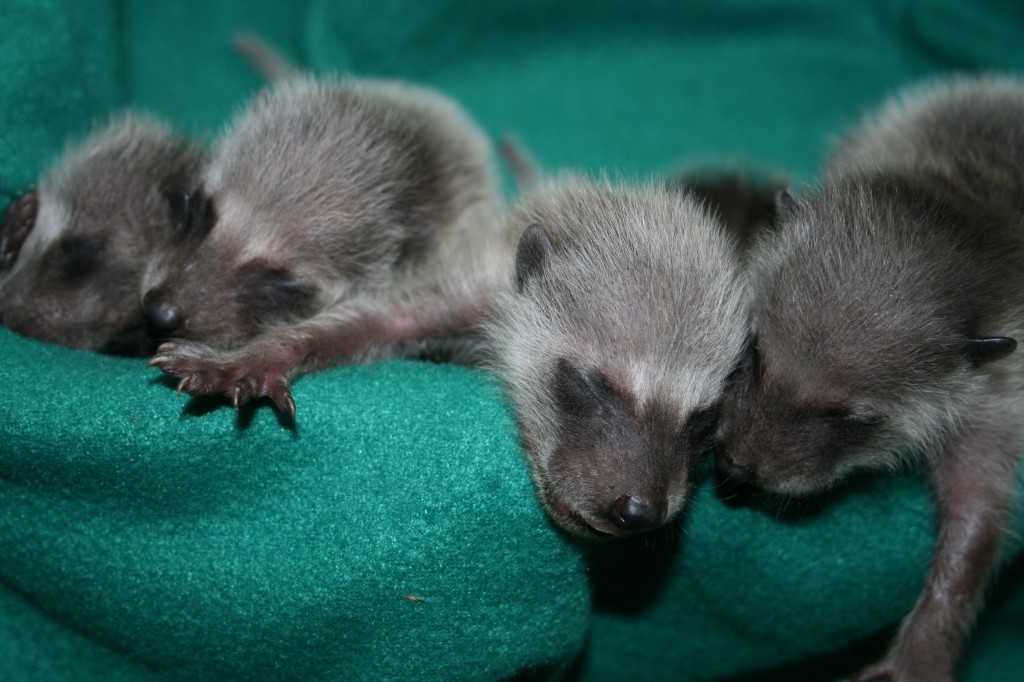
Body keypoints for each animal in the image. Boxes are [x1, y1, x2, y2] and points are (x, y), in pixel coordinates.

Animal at [716, 75, 1024, 679]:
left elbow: (977, 517)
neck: (959, 212)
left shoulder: (1000, 395)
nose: (738, 465)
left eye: (850, 417)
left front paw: (923, 648)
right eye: (755, 353)